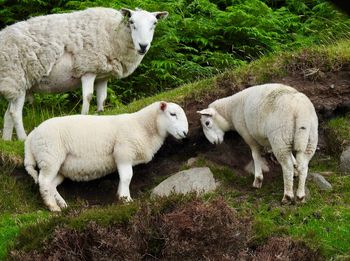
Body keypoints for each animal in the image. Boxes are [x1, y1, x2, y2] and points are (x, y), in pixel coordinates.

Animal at [0, 6, 170, 140]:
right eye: (132, 22)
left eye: (154, 23)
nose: (143, 46)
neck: (114, 34)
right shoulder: (88, 67)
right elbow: (87, 96)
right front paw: (84, 116)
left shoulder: (102, 74)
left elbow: (102, 98)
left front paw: (101, 114)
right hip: (16, 78)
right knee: (15, 113)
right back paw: (23, 138)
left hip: (13, 84)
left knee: (8, 114)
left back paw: (7, 141)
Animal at [24, 100, 189, 210]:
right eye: (172, 114)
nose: (185, 133)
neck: (143, 126)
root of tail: (32, 135)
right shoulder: (123, 152)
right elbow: (127, 176)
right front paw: (126, 199)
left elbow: (124, 177)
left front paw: (121, 196)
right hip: (50, 156)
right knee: (44, 181)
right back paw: (53, 207)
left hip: (60, 166)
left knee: (51, 184)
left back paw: (63, 205)